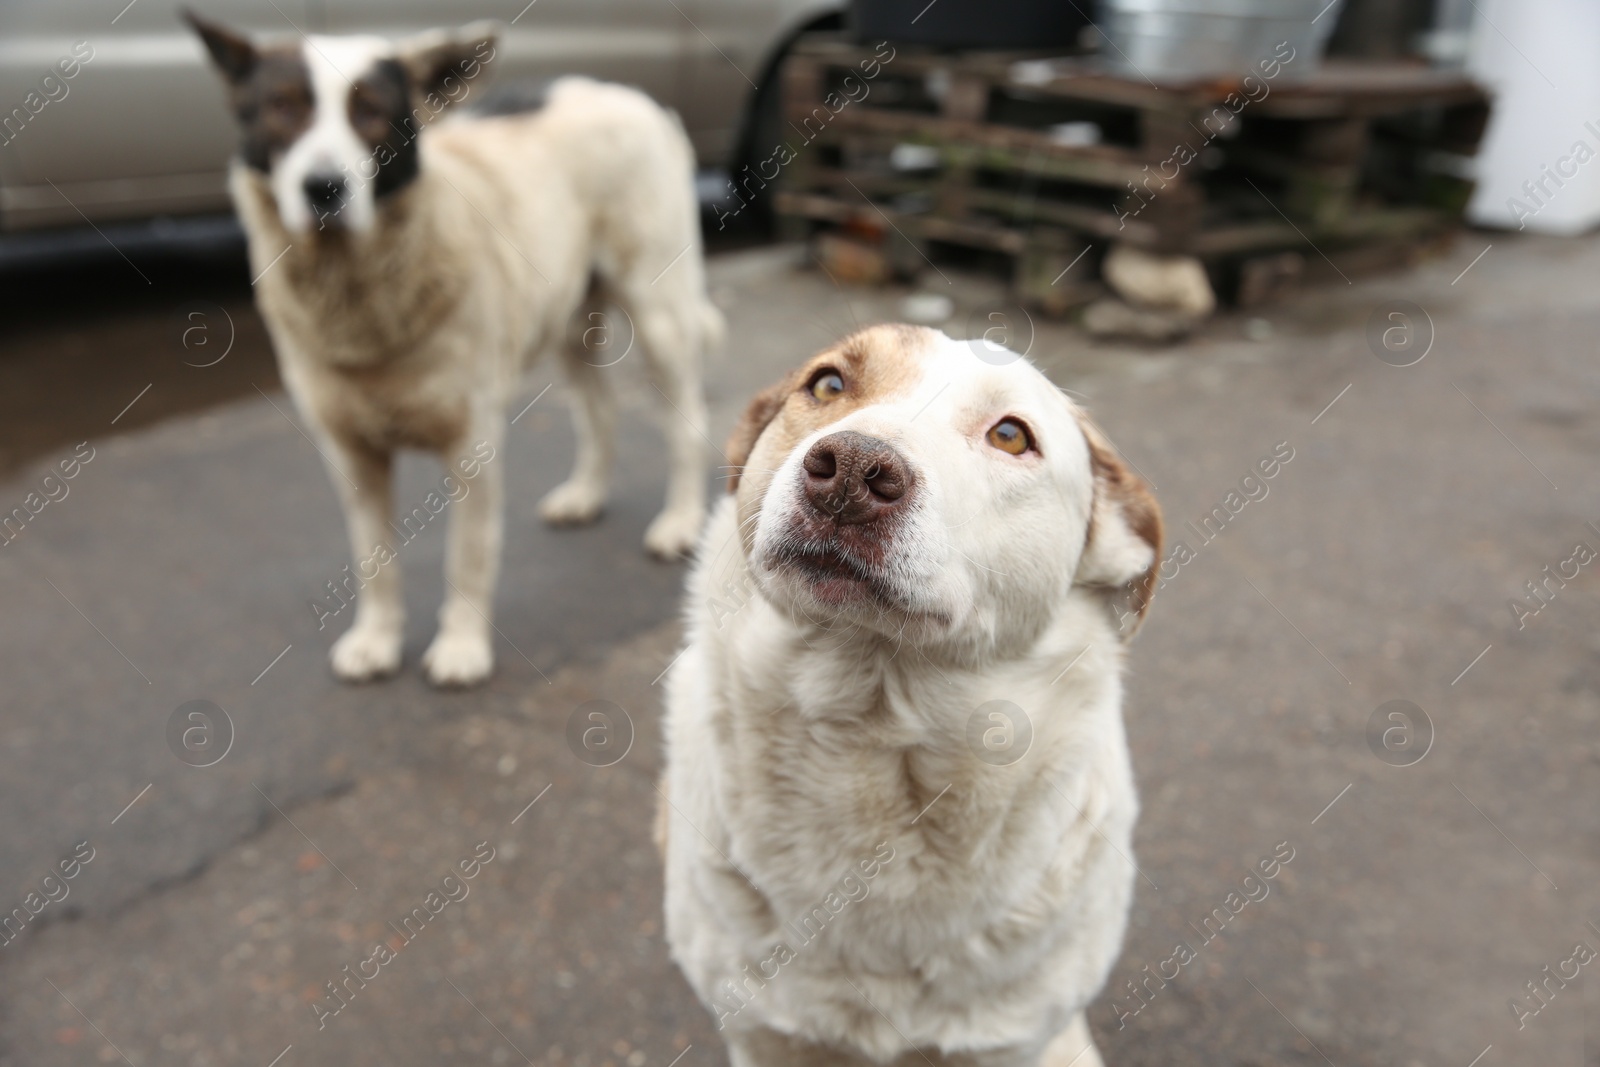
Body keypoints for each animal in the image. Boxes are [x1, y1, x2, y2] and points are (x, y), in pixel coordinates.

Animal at [183, 10, 726, 684]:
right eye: (283, 107)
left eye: (370, 111)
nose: (323, 188)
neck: (361, 295)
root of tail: (626, 92)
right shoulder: (350, 457)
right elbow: (374, 561)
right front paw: (377, 639)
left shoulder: (473, 446)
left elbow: (465, 558)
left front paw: (462, 647)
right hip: (566, 319)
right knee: (599, 407)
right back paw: (585, 495)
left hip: (660, 315)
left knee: (687, 421)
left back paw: (679, 521)